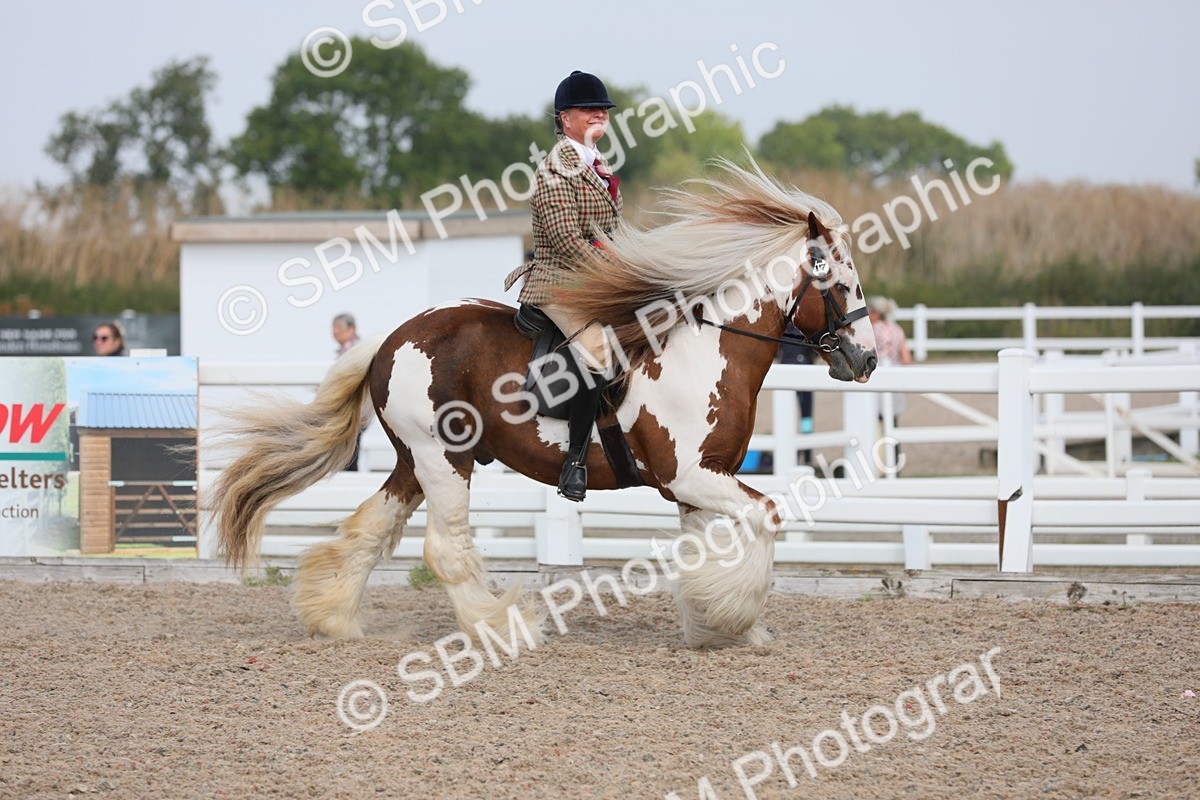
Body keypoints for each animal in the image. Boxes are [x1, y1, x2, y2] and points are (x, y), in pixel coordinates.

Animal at [213, 159, 877, 649]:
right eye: (840, 281)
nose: (866, 359)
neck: (704, 350)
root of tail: (392, 338)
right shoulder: (691, 475)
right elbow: (768, 517)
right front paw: (737, 621)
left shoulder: (698, 485)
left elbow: (705, 551)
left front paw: (714, 625)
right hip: (443, 457)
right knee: (444, 547)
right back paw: (501, 628)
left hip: (412, 461)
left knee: (370, 530)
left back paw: (334, 620)